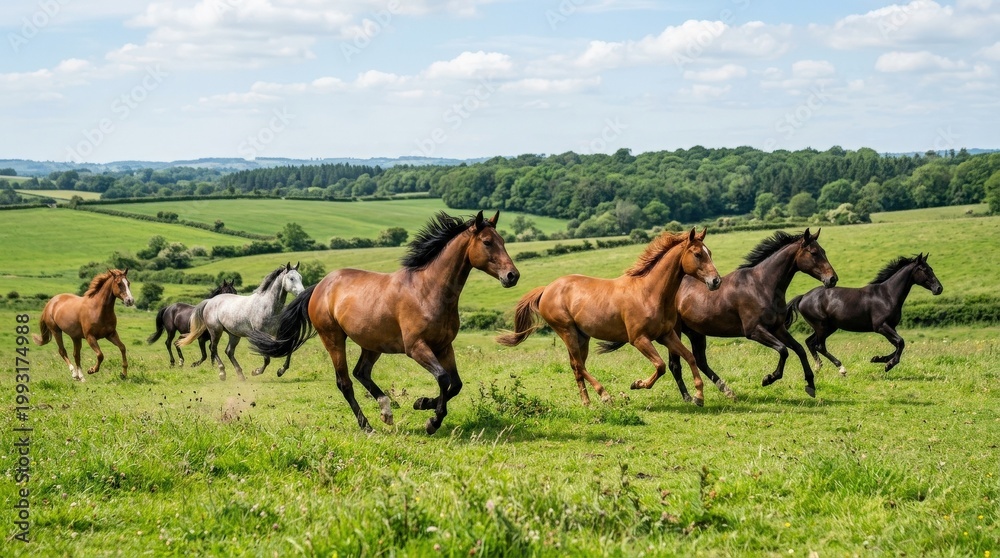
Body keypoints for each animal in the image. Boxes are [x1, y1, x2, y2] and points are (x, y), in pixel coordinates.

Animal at [249, 211, 519, 435]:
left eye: (503, 241)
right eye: (487, 242)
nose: (512, 276)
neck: (427, 291)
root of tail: (320, 286)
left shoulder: (444, 346)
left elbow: (456, 384)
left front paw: (422, 403)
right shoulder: (416, 347)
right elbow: (443, 379)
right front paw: (432, 421)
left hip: (372, 344)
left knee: (361, 373)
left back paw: (386, 410)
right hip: (333, 338)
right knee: (345, 382)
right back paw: (367, 426)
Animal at [496, 228, 722, 406]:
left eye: (709, 253)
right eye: (697, 254)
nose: (716, 281)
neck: (649, 292)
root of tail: (547, 289)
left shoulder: (666, 335)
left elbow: (690, 357)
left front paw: (699, 397)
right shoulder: (639, 339)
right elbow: (660, 365)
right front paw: (637, 384)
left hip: (582, 337)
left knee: (577, 366)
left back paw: (587, 402)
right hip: (567, 332)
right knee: (579, 365)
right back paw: (605, 395)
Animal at [786, 253, 942, 375]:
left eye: (931, 268)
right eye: (924, 269)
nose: (939, 288)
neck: (887, 295)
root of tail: (803, 297)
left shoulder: (891, 327)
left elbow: (898, 344)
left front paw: (878, 359)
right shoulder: (880, 326)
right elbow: (900, 342)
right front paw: (888, 365)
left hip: (828, 327)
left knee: (810, 342)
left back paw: (818, 367)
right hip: (822, 326)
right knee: (819, 346)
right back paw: (841, 368)